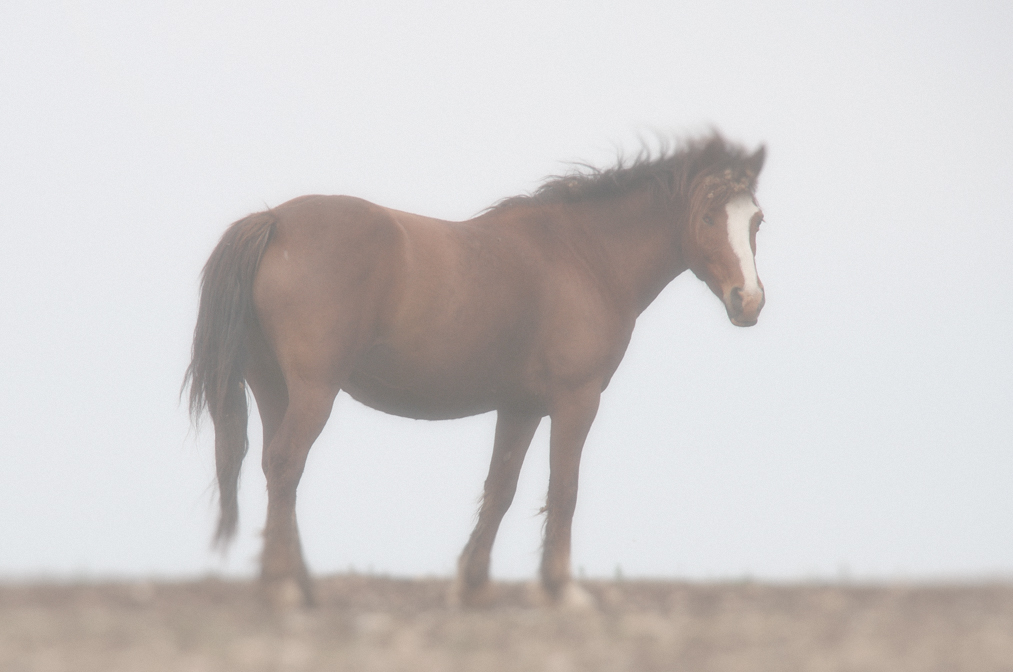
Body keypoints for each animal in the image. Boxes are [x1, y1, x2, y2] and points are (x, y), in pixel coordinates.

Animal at [184, 131, 765, 608]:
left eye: (756, 219)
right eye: (708, 216)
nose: (749, 300)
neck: (584, 256)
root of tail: (274, 221)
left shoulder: (521, 407)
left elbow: (500, 488)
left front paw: (472, 583)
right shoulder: (576, 400)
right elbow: (563, 489)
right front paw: (561, 589)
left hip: (274, 386)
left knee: (275, 467)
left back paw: (297, 583)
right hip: (313, 390)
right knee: (286, 464)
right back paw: (282, 588)